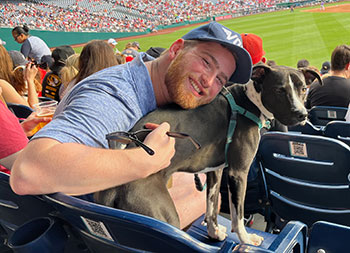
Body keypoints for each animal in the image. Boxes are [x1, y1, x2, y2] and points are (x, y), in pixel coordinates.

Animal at [94, 64, 322, 246]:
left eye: (303, 89)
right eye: (279, 90)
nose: (302, 114)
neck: (249, 102)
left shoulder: (215, 171)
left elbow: (211, 206)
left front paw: (214, 233)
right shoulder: (238, 173)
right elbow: (237, 213)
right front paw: (246, 240)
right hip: (162, 215)